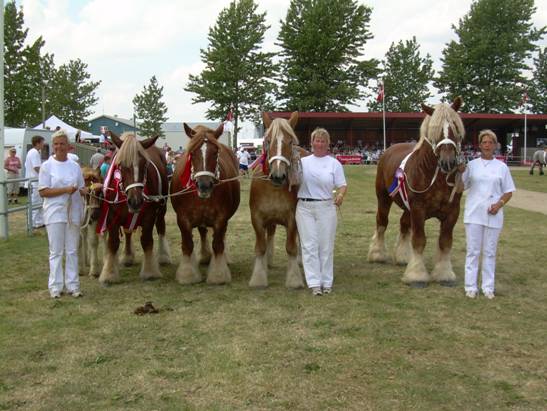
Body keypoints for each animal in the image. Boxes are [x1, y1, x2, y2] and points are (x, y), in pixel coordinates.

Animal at [98, 134, 171, 284]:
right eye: (121, 165)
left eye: (145, 164)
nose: (136, 201)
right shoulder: (112, 215)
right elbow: (113, 243)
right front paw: (109, 273)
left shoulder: (149, 214)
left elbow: (147, 240)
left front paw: (149, 271)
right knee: (127, 232)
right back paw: (127, 257)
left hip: (162, 207)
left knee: (161, 227)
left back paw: (163, 256)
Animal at [170, 124, 241, 284]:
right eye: (192, 153)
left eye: (215, 152)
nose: (204, 185)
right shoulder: (182, 219)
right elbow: (187, 244)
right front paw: (187, 274)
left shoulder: (221, 218)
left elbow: (218, 244)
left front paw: (218, 274)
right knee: (202, 232)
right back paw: (204, 256)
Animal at [249, 111, 308, 288]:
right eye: (268, 141)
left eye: (290, 141)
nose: (278, 176)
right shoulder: (257, 218)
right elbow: (260, 246)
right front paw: (258, 277)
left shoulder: (293, 218)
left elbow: (291, 247)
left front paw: (294, 279)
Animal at [368, 98, 466, 288]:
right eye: (434, 131)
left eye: (455, 128)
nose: (448, 162)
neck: (436, 178)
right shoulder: (418, 209)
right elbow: (419, 240)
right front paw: (417, 275)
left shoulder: (452, 212)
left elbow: (445, 242)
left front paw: (444, 274)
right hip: (383, 198)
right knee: (382, 222)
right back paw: (377, 254)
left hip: (407, 207)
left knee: (404, 224)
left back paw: (403, 257)